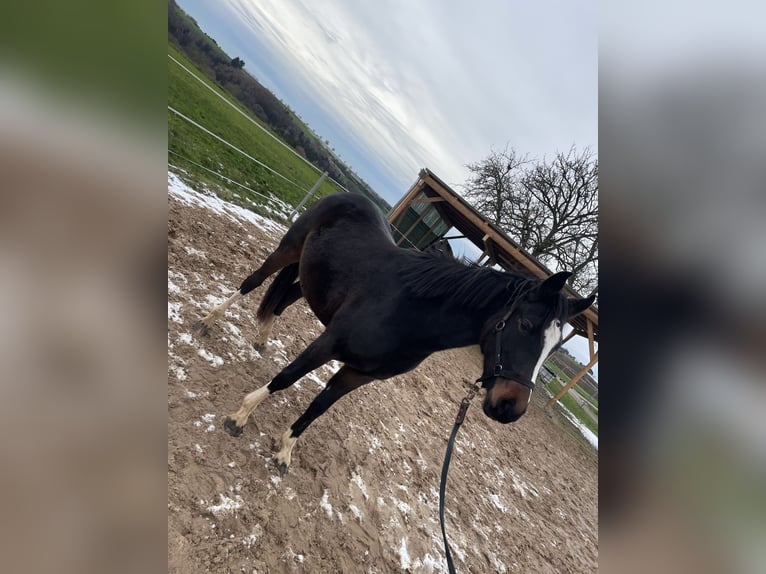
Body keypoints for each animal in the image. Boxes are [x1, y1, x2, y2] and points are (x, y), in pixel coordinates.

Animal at [192, 195, 592, 476]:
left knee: (283, 299)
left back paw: (261, 338)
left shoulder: (359, 374)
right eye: (525, 325)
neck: (408, 313)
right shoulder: (327, 345)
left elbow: (319, 407)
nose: (510, 408)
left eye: (554, 348)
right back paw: (206, 322)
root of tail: (347, 197)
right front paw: (239, 418)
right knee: (252, 283)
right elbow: (286, 378)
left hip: (311, 280)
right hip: (287, 249)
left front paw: (284, 452)